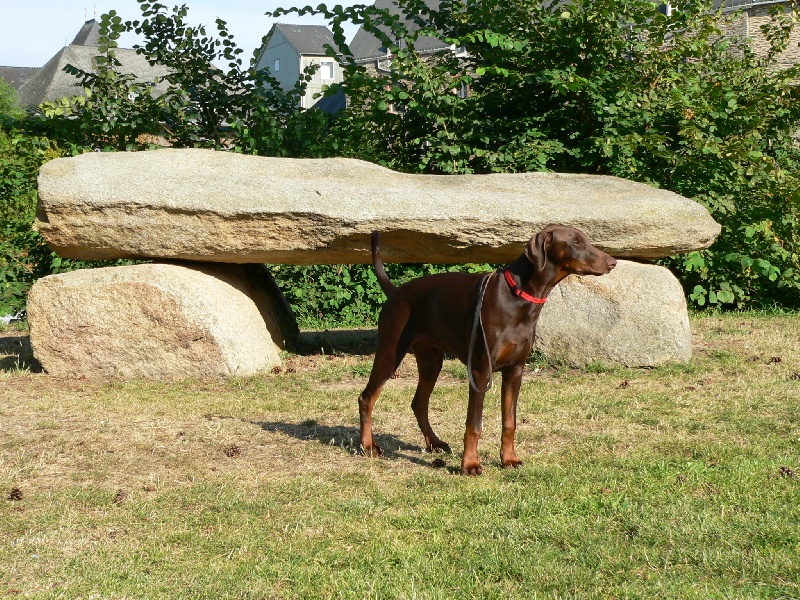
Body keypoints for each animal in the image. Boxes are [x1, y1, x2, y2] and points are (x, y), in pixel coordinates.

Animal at [358, 223, 620, 476]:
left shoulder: (515, 370)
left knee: (419, 403)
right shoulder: (481, 371)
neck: (519, 296)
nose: (613, 262)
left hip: (431, 360)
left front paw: (509, 459)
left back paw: (434, 442)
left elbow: (510, 421)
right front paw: (470, 465)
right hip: (390, 352)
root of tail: (395, 291)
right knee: (367, 397)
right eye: (576, 242)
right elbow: (474, 424)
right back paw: (369, 446)